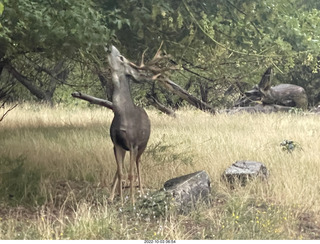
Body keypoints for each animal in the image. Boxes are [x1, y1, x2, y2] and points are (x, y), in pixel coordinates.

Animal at [107, 46, 151, 204]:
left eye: (121, 57)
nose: (110, 47)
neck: (123, 114)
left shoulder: (133, 143)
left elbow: (131, 174)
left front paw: (131, 201)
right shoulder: (116, 142)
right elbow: (121, 172)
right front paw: (119, 199)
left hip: (143, 145)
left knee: (138, 163)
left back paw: (142, 192)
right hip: (123, 148)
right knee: (119, 169)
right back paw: (111, 196)